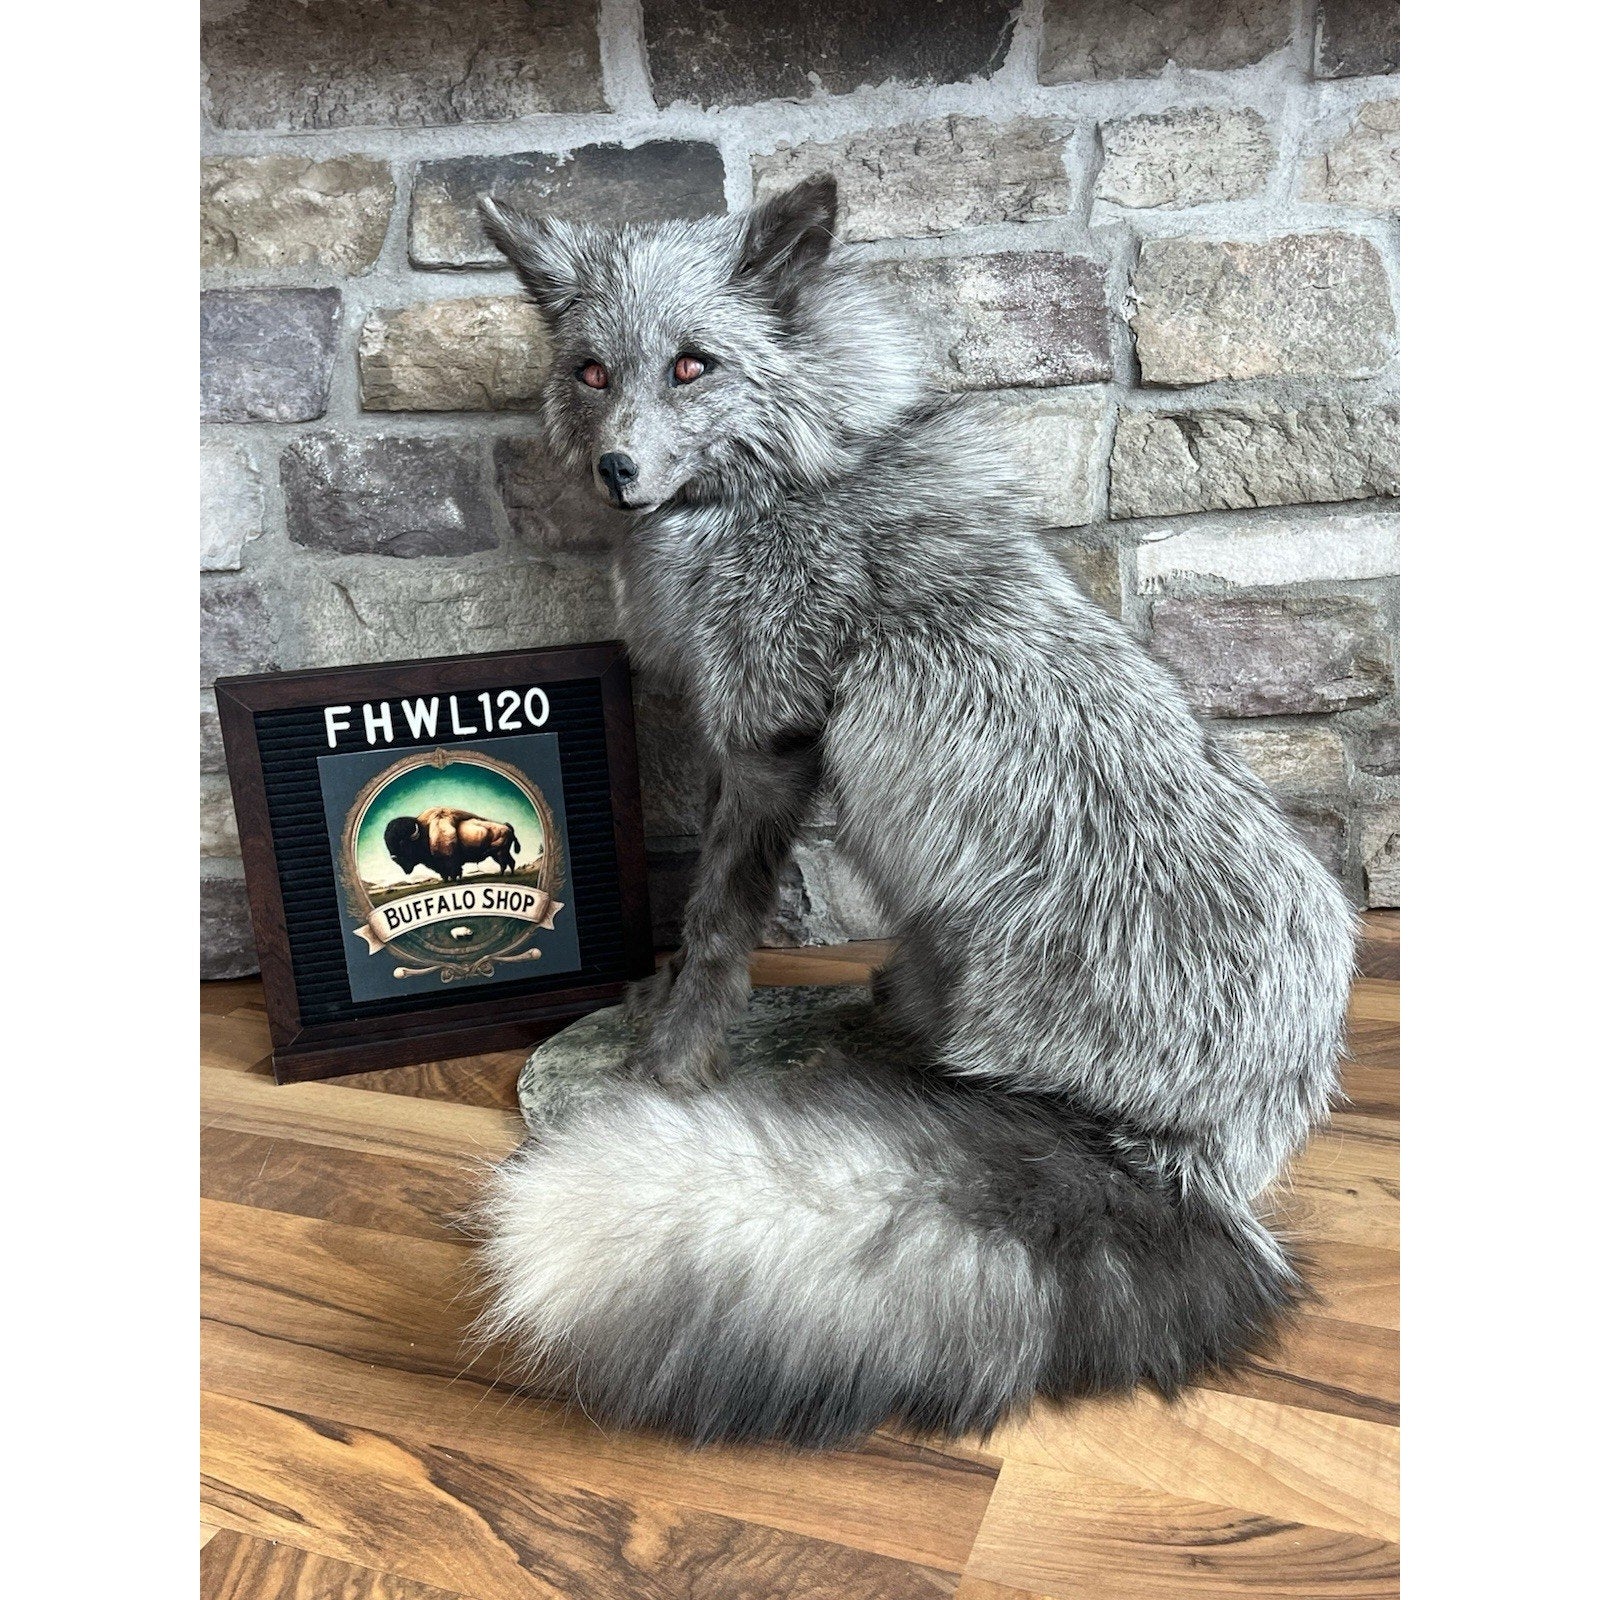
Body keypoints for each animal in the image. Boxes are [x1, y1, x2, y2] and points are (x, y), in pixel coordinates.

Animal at [473, 176, 1357, 1449]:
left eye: (692, 367)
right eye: (593, 371)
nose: (616, 471)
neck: (781, 482)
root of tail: (1223, 1153)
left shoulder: (769, 735)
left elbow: (716, 922)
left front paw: (670, 1063)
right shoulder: (746, 735)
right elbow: (702, 922)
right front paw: (657, 1014)